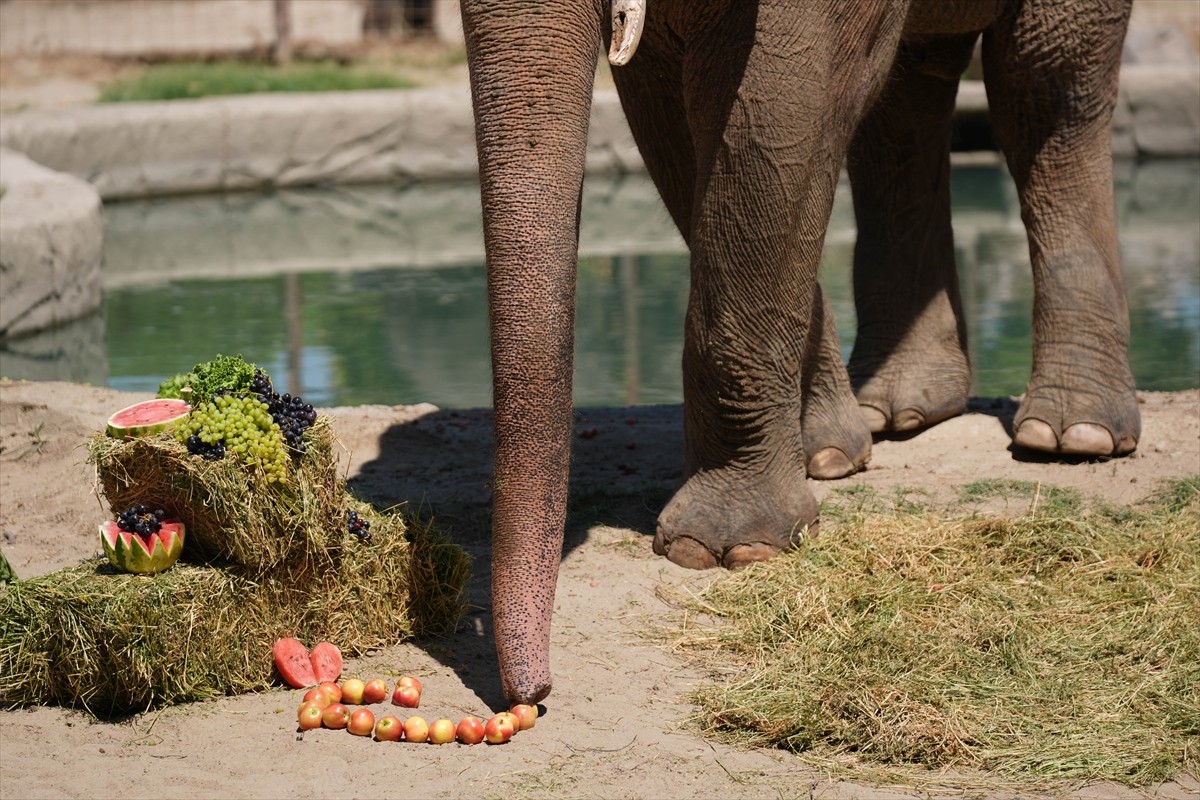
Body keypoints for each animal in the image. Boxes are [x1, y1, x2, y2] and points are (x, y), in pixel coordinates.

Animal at [456, 0, 1132, 705]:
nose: (533, 695)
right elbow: (673, 114)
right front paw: (826, 455)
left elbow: (772, 115)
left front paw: (721, 550)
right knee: (905, 100)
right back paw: (894, 414)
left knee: (1048, 85)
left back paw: (1071, 437)